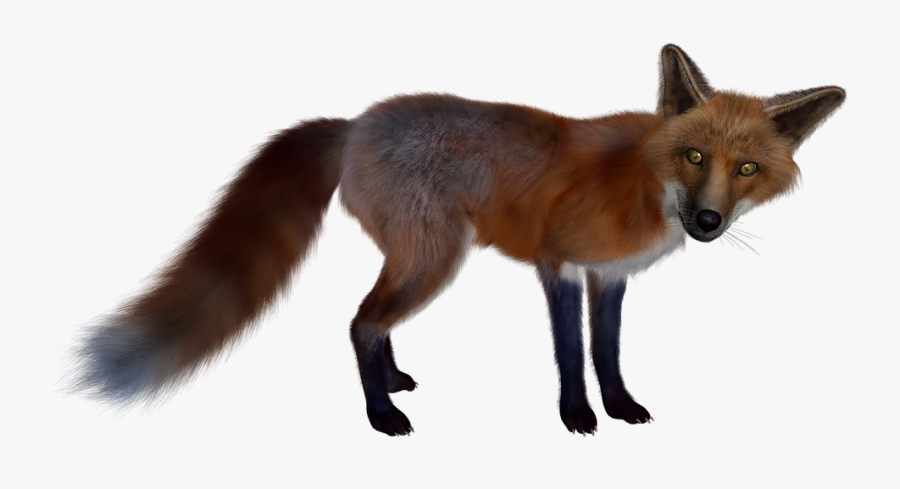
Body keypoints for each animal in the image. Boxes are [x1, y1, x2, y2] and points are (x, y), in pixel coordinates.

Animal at [66, 45, 844, 436]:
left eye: (746, 169)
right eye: (693, 156)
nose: (707, 223)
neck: (642, 181)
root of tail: (354, 124)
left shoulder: (610, 276)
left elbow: (609, 352)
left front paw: (621, 407)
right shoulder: (559, 265)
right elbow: (571, 356)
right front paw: (577, 417)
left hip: (416, 258)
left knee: (373, 321)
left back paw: (392, 381)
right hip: (435, 259)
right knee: (360, 320)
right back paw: (381, 414)